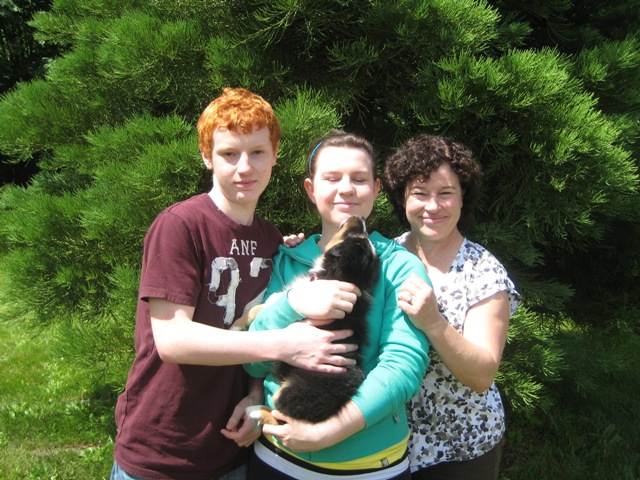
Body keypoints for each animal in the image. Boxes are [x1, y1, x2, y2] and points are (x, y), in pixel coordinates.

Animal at [238, 215, 380, 426]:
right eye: (358, 234)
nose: (361, 217)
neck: (337, 277)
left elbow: (266, 305)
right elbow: (263, 305)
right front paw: (236, 325)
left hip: (297, 390)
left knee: (281, 417)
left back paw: (253, 411)